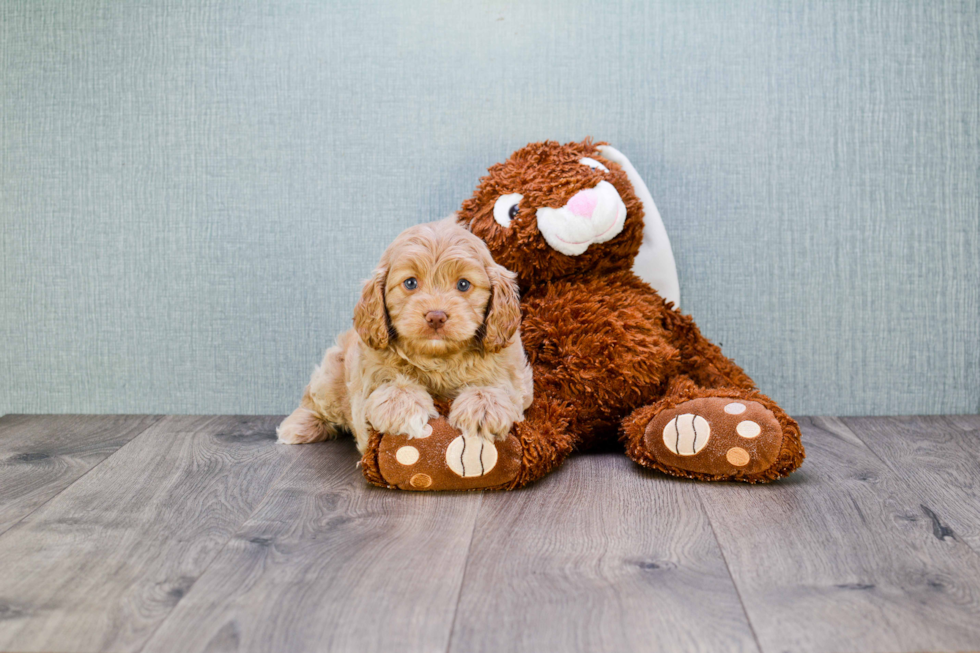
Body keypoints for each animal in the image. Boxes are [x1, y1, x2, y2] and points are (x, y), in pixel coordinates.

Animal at [276, 216, 536, 450]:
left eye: (463, 284)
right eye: (410, 283)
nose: (436, 316)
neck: (439, 359)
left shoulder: (513, 372)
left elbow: (501, 387)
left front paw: (484, 407)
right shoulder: (367, 379)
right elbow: (388, 388)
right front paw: (402, 407)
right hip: (330, 376)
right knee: (314, 401)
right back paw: (298, 426)